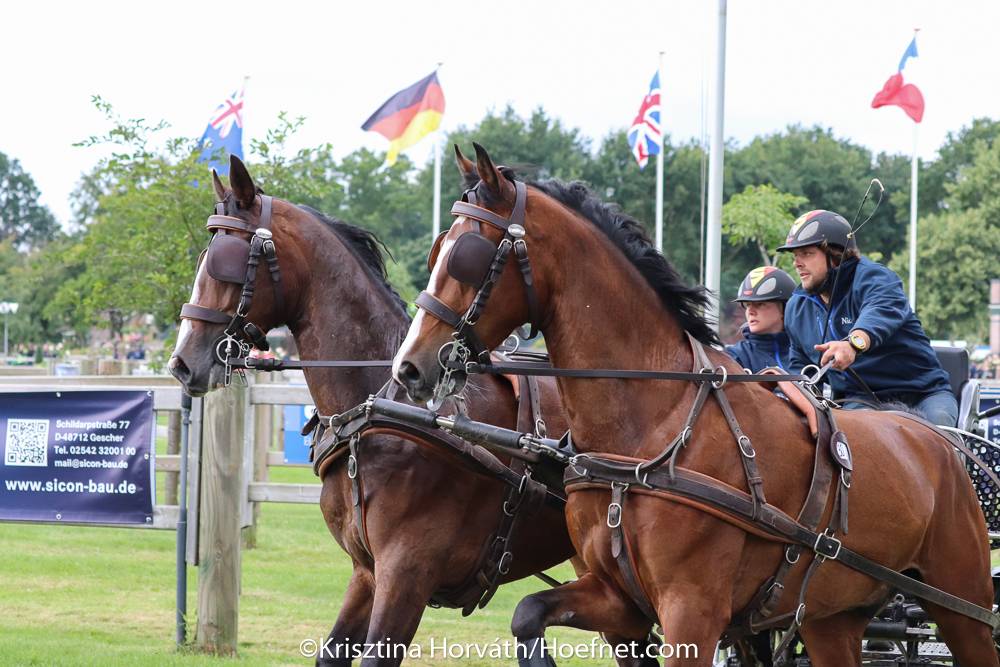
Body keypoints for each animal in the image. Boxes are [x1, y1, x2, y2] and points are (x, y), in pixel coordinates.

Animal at [168, 156, 587, 666]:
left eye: (225, 260)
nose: (182, 362)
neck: (383, 407)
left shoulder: (407, 573)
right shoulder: (367, 573)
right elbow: (331, 653)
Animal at [392, 143, 998, 666]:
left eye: (467, 257)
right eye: (437, 248)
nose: (409, 366)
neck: (650, 427)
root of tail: (942, 443)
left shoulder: (694, 611)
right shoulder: (618, 598)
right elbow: (526, 614)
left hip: (963, 603)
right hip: (834, 617)